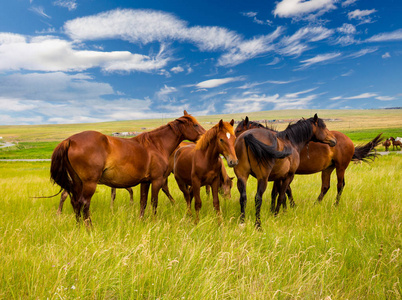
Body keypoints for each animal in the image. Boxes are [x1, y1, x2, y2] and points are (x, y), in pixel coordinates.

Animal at [50, 109, 206, 224]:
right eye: (195, 125)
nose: (205, 136)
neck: (156, 145)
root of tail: (70, 140)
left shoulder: (145, 182)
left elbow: (143, 202)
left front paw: (141, 221)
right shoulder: (156, 180)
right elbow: (154, 202)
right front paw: (154, 222)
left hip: (77, 183)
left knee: (75, 202)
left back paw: (80, 227)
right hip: (89, 183)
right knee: (84, 203)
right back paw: (89, 228)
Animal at [236, 115, 384, 206]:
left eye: (237, 130)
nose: (235, 144)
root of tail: (348, 140)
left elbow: (283, 191)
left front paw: (289, 206)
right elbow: (283, 191)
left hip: (340, 167)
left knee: (340, 185)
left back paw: (335, 205)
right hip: (328, 168)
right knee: (325, 186)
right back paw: (316, 204)